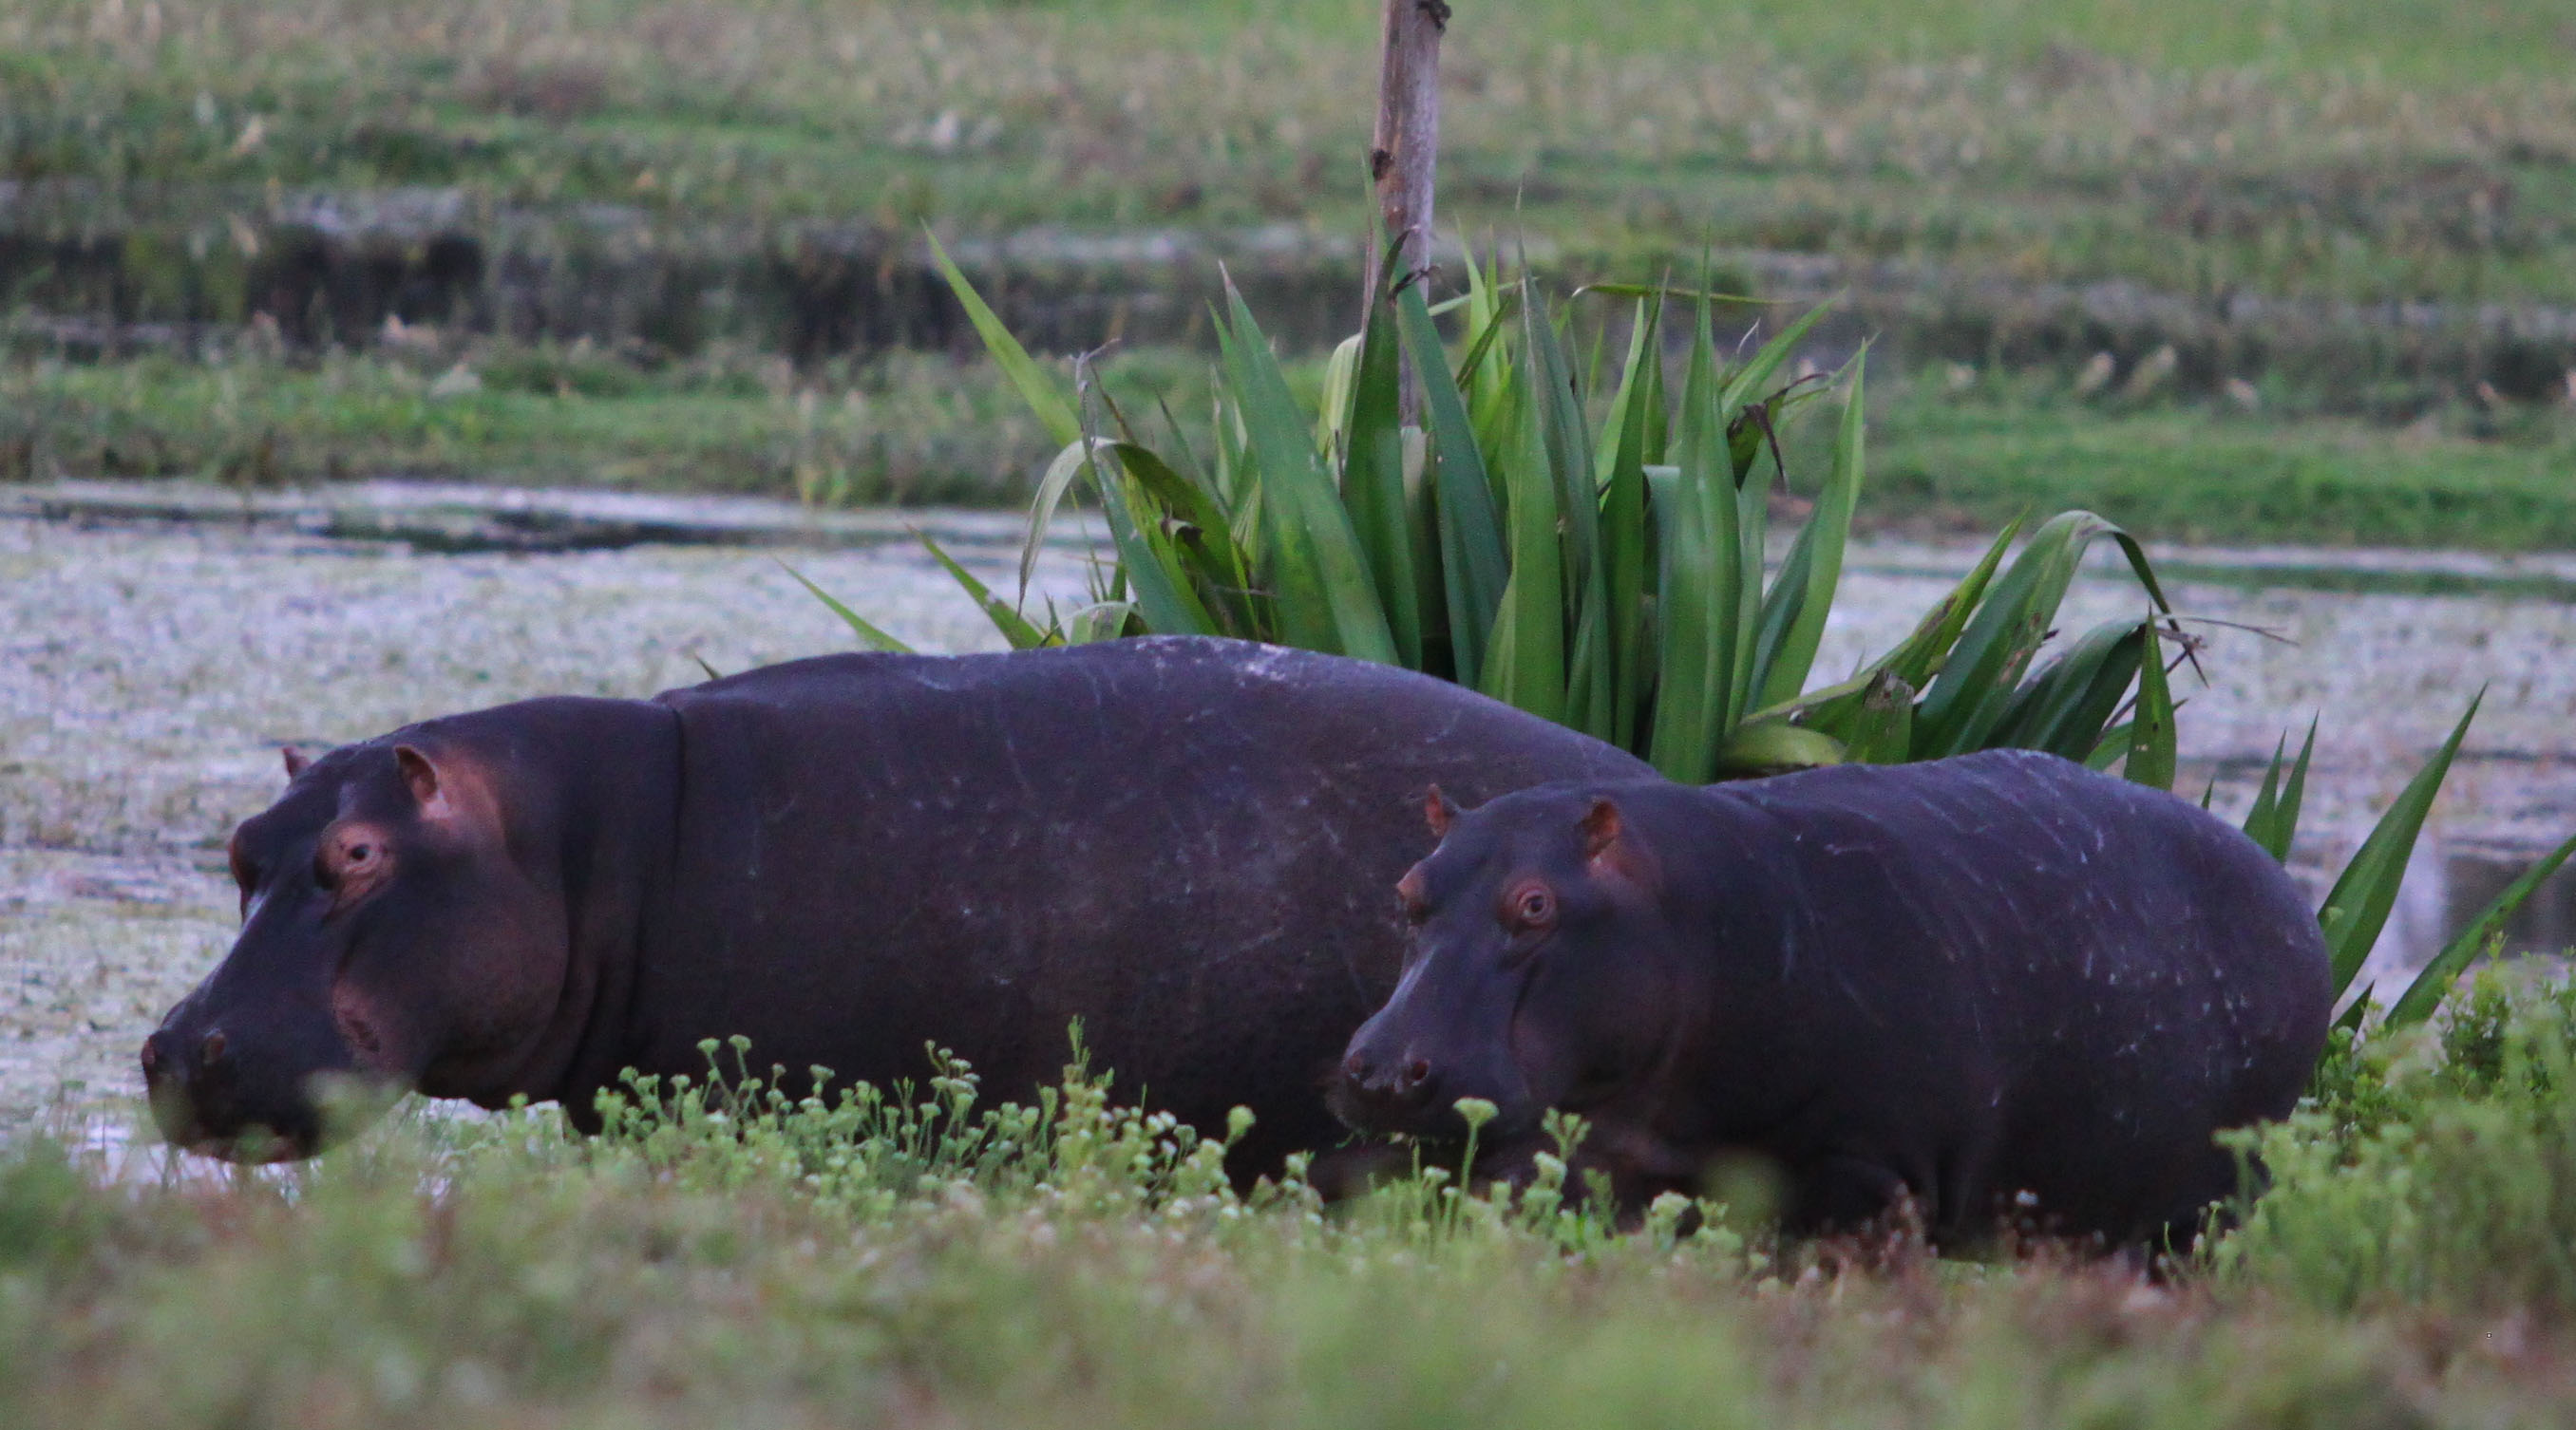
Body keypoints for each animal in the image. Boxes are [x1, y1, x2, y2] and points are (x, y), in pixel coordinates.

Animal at [1339, 757, 2349, 1247]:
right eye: (1408, 886)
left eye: (1536, 904)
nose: (1385, 1069)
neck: (1680, 908)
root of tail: (2291, 895)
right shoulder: (1618, 1168)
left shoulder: (1868, 1172)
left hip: (2215, 1197)